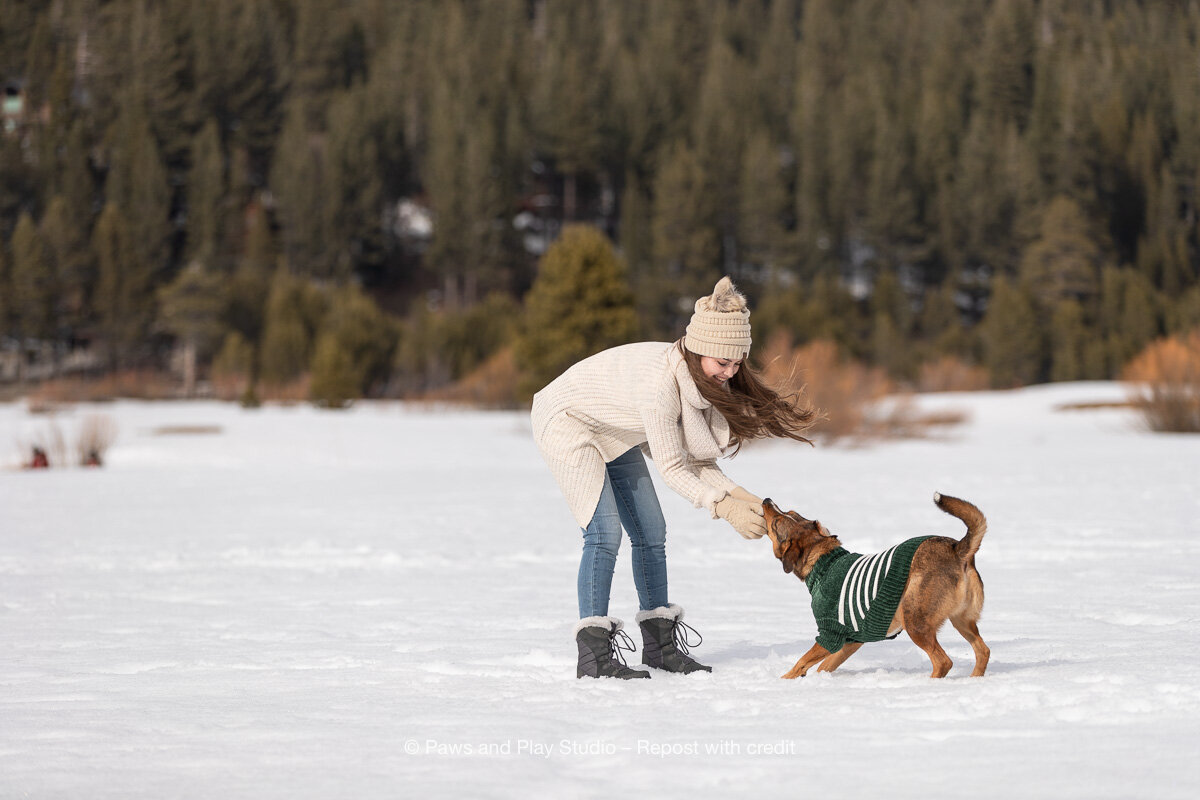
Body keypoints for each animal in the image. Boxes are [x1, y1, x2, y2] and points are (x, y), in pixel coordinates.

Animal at [763, 491, 988, 681]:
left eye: (775, 524)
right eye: (790, 512)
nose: (766, 500)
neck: (823, 560)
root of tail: (957, 548)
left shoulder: (829, 633)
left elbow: (802, 661)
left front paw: (784, 681)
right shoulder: (852, 640)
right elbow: (824, 666)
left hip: (916, 623)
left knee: (943, 661)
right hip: (962, 620)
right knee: (983, 651)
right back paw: (974, 680)